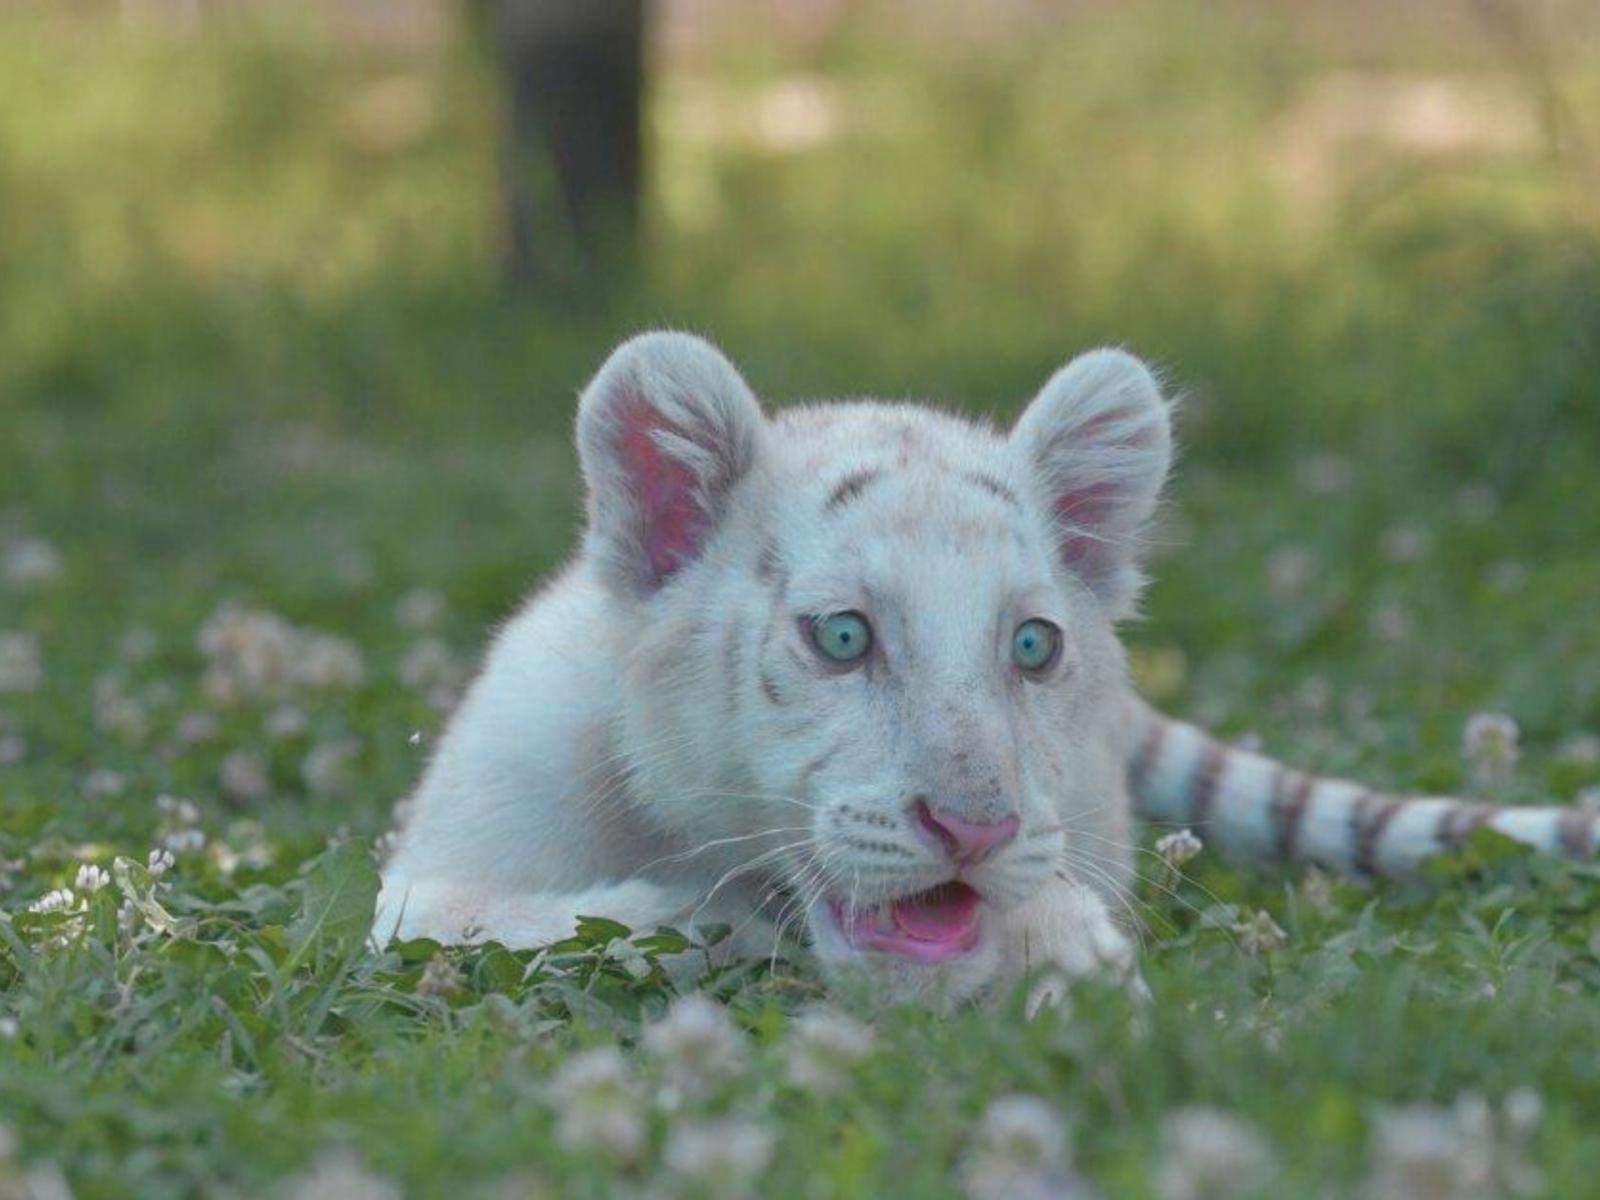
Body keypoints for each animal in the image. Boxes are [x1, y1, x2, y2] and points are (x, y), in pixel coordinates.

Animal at [374, 331, 1596, 1009]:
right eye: (844, 637)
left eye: (1031, 646)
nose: (975, 828)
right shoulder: (427, 886)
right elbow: (579, 924)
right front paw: (719, 926)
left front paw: (1071, 960)